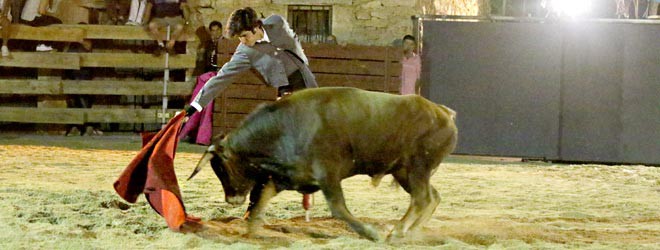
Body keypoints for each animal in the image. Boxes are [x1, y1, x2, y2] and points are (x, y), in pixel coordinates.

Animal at [189, 87, 458, 241]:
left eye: (222, 168)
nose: (231, 199)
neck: (284, 126)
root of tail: (444, 112)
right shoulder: (287, 177)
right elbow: (260, 199)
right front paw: (252, 231)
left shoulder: (328, 175)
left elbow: (338, 208)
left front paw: (370, 233)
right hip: (404, 172)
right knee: (431, 197)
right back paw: (409, 231)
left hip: (417, 168)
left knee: (422, 198)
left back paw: (400, 231)